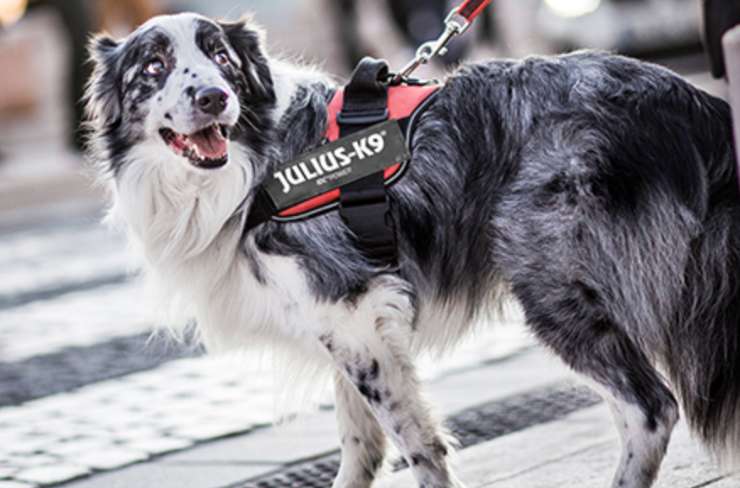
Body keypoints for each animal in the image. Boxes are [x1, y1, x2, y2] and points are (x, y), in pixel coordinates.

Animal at [85, 11, 740, 488]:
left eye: (221, 58)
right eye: (154, 66)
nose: (215, 98)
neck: (255, 165)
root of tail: (697, 105)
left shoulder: (353, 307)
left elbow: (414, 440)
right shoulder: (341, 322)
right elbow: (360, 444)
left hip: (553, 282)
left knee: (651, 409)